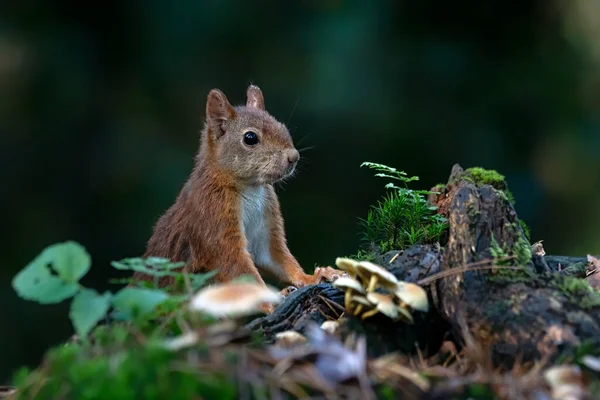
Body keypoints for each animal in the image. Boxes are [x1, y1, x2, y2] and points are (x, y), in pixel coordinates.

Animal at [134, 83, 344, 304]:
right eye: (250, 138)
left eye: (282, 127)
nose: (293, 157)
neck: (250, 187)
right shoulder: (213, 220)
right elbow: (235, 266)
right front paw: (272, 298)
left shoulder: (265, 225)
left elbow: (276, 257)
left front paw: (313, 276)